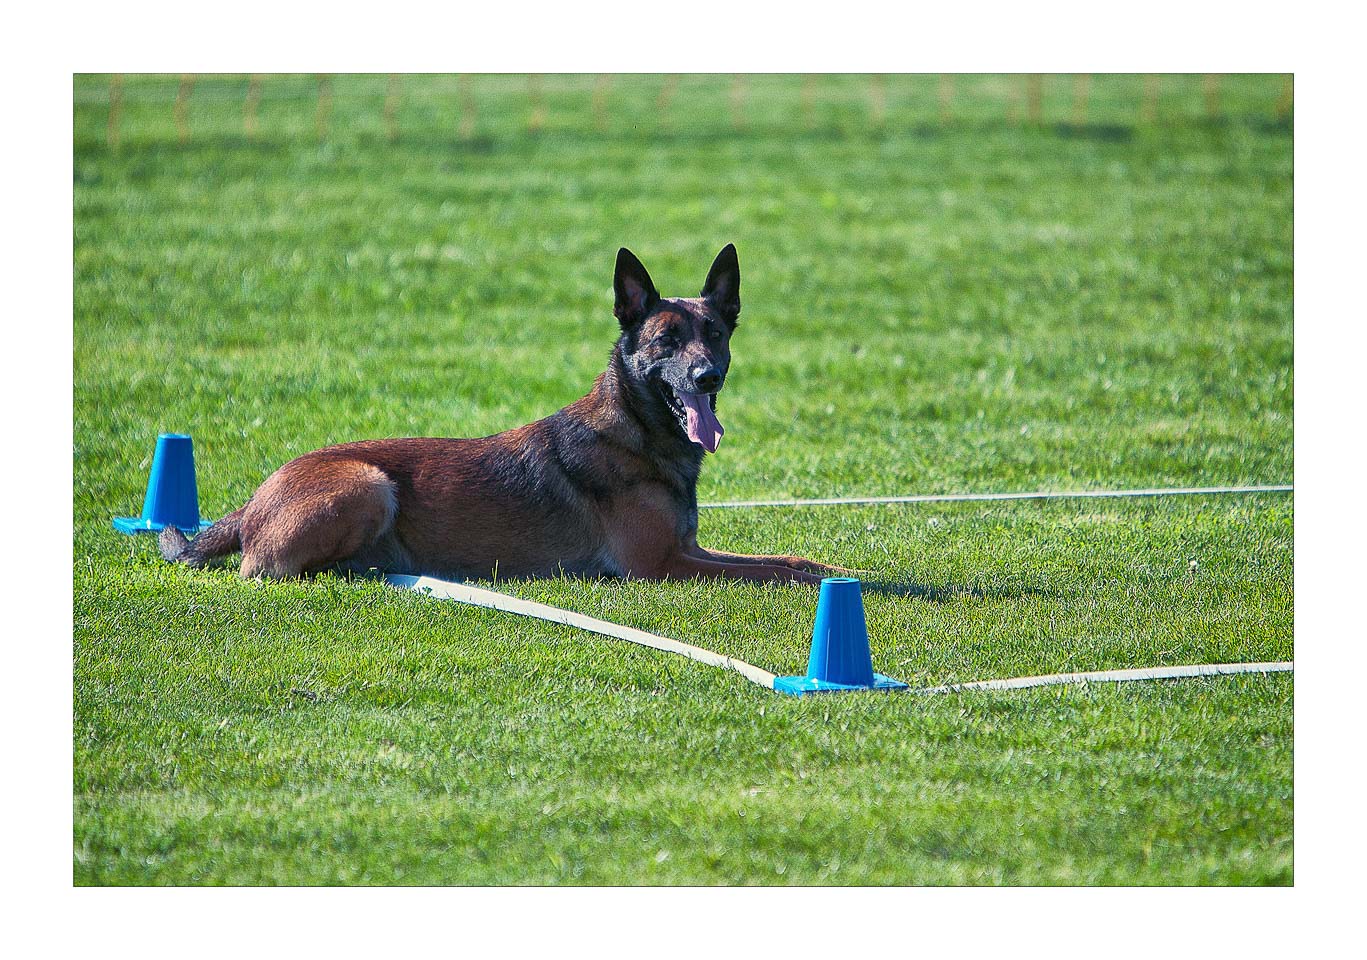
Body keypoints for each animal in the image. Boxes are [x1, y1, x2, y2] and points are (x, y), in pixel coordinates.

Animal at [159, 244, 842, 582]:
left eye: (714, 336)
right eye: (667, 342)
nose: (707, 377)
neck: (636, 435)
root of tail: (255, 497)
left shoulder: (688, 549)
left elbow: (791, 562)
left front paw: (841, 570)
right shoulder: (661, 564)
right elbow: (777, 574)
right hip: (368, 484)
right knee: (264, 570)